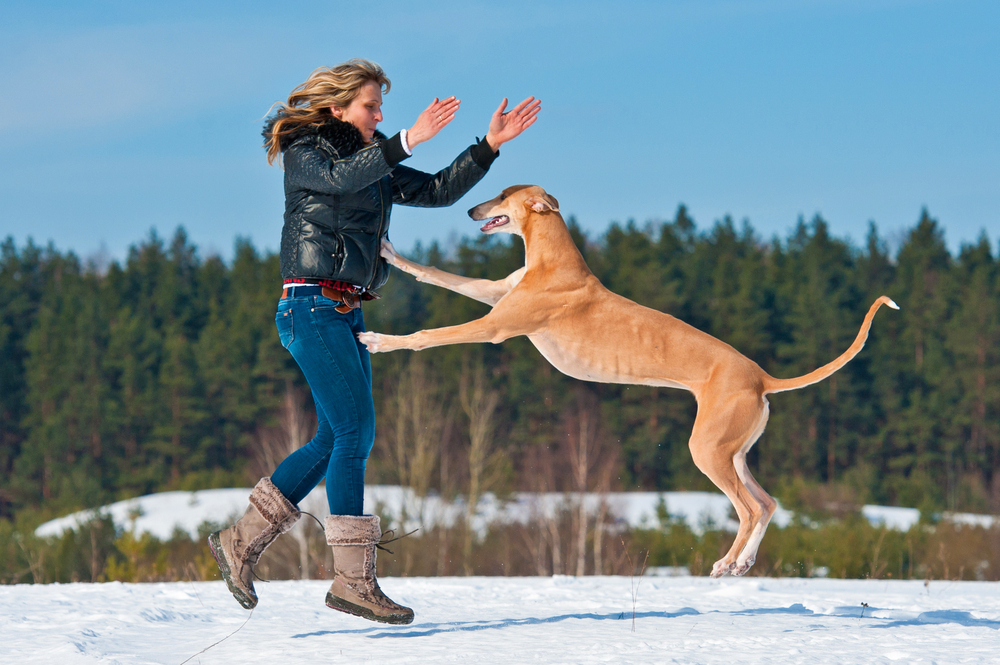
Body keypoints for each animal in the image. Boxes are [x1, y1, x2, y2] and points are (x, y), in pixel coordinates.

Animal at [360, 183, 900, 576]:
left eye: (502, 193)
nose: (472, 209)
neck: (553, 260)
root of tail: (761, 377)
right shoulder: (494, 293)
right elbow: (435, 273)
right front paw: (391, 252)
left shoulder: (495, 325)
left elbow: (430, 335)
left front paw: (380, 341)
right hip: (733, 450)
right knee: (767, 503)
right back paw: (743, 561)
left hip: (708, 449)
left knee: (748, 508)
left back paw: (727, 562)